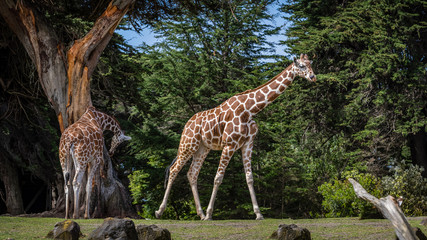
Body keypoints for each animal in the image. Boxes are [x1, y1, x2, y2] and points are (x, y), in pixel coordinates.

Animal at [155, 54, 316, 219]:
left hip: (202, 148)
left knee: (192, 174)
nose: (312, 77)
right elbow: (218, 178)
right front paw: (210, 214)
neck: (249, 110)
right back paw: (160, 211)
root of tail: (186, 125)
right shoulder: (229, 144)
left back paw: (200, 214)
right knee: (174, 170)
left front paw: (258, 214)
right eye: (302, 66)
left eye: (311, 64)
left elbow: (249, 178)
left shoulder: (247, 144)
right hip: (188, 144)